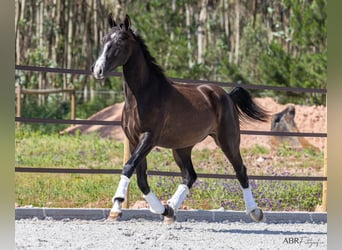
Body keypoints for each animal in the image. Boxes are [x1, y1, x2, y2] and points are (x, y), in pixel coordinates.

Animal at [92, 14, 268, 224]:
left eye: (119, 42)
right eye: (104, 40)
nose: (97, 70)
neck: (143, 95)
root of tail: (226, 95)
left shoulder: (148, 138)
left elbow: (128, 167)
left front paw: (117, 204)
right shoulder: (134, 140)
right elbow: (141, 179)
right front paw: (157, 209)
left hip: (228, 141)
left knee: (240, 171)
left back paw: (255, 212)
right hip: (182, 147)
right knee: (189, 176)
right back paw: (170, 210)